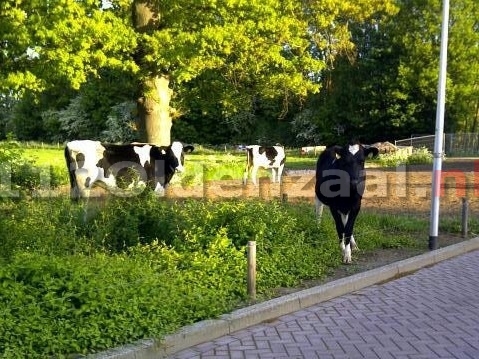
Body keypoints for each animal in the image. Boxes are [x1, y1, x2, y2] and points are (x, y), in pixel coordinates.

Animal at [64, 141, 194, 200]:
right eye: (171, 155)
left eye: (182, 154)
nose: (179, 169)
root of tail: (70, 144)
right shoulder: (154, 187)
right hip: (84, 184)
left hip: (74, 184)